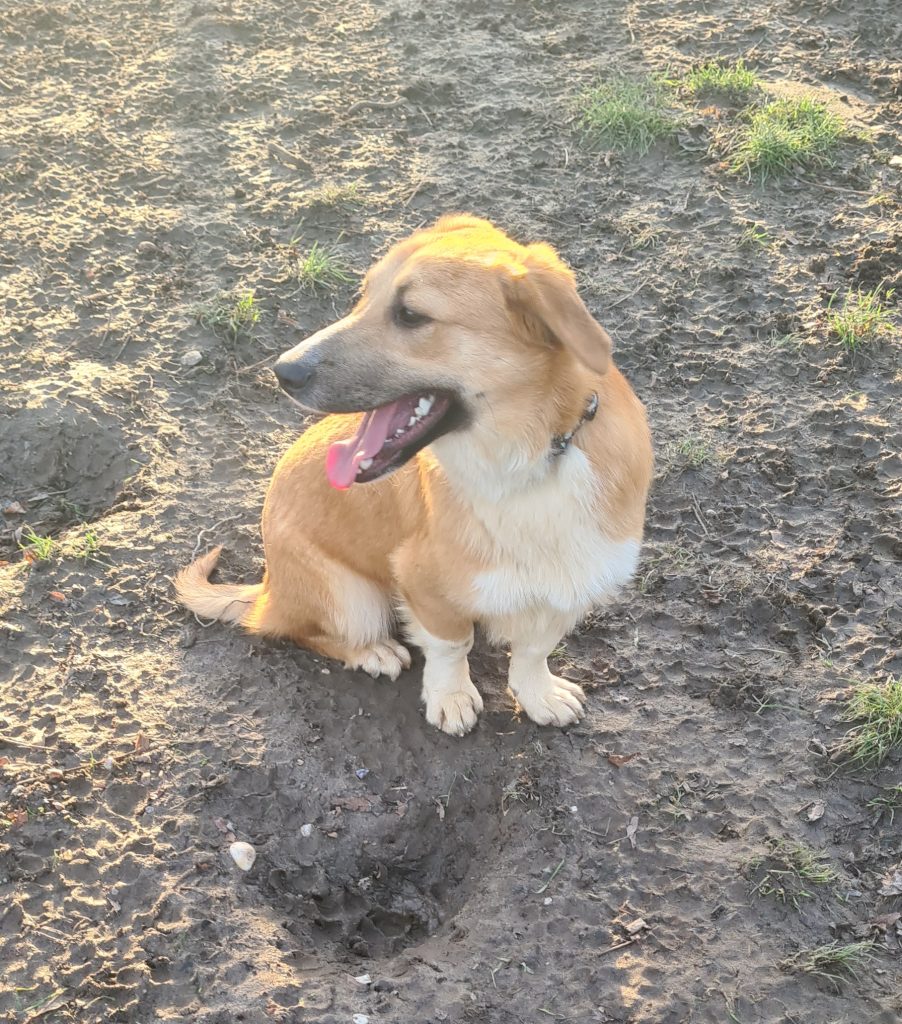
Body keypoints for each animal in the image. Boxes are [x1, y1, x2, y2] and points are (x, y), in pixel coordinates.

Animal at [175, 215, 653, 735]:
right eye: (363, 296)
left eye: (409, 314)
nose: (283, 372)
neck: (533, 460)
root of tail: (269, 588)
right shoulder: (422, 581)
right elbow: (452, 645)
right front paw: (451, 697)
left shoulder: (574, 581)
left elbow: (533, 650)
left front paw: (538, 695)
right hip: (349, 597)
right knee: (291, 630)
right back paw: (372, 652)